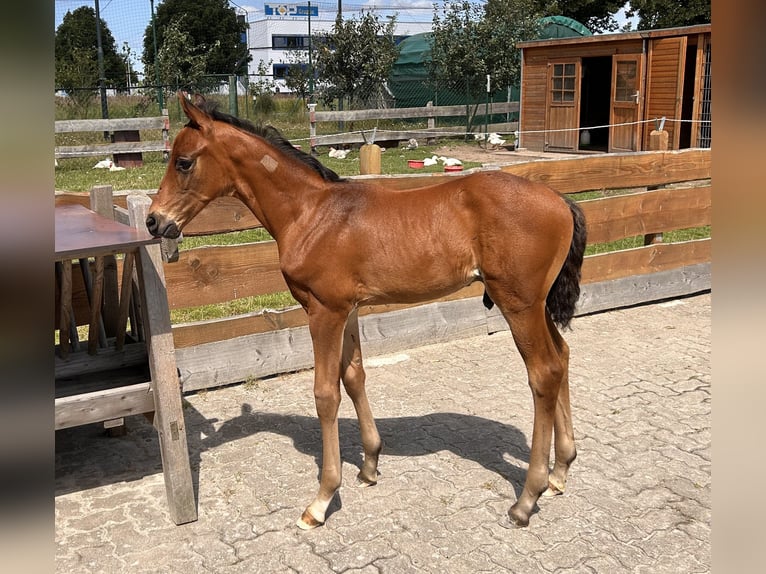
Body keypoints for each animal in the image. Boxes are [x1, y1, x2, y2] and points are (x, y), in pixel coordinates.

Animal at [147, 93, 588, 532]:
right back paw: (560, 471)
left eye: (183, 162)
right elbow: (354, 375)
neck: (311, 213)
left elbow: (326, 393)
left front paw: (322, 498)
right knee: (563, 356)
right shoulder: (349, 310)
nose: (154, 221)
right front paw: (370, 464)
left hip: (518, 305)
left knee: (544, 372)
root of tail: (561, 201)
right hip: (537, 306)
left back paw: (527, 498)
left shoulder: (323, 311)